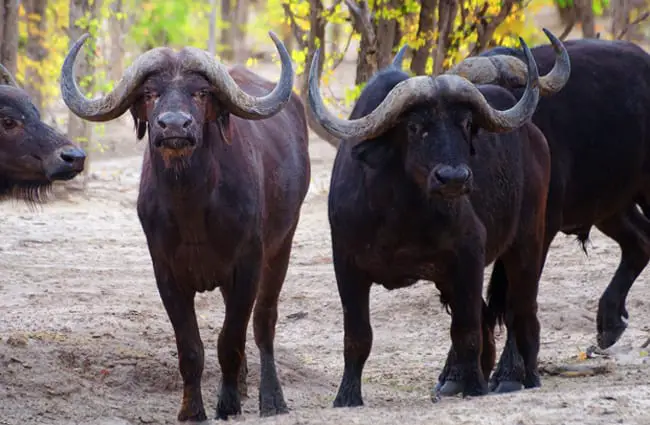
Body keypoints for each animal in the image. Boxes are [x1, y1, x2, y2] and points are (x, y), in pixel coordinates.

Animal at [61, 33, 312, 420]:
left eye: (201, 92)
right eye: (150, 93)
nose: (175, 126)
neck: (192, 206)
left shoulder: (247, 266)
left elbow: (230, 339)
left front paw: (228, 404)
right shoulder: (166, 273)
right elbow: (191, 348)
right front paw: (193, 410)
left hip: (282, 246)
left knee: (263, 321)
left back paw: (271, 398)